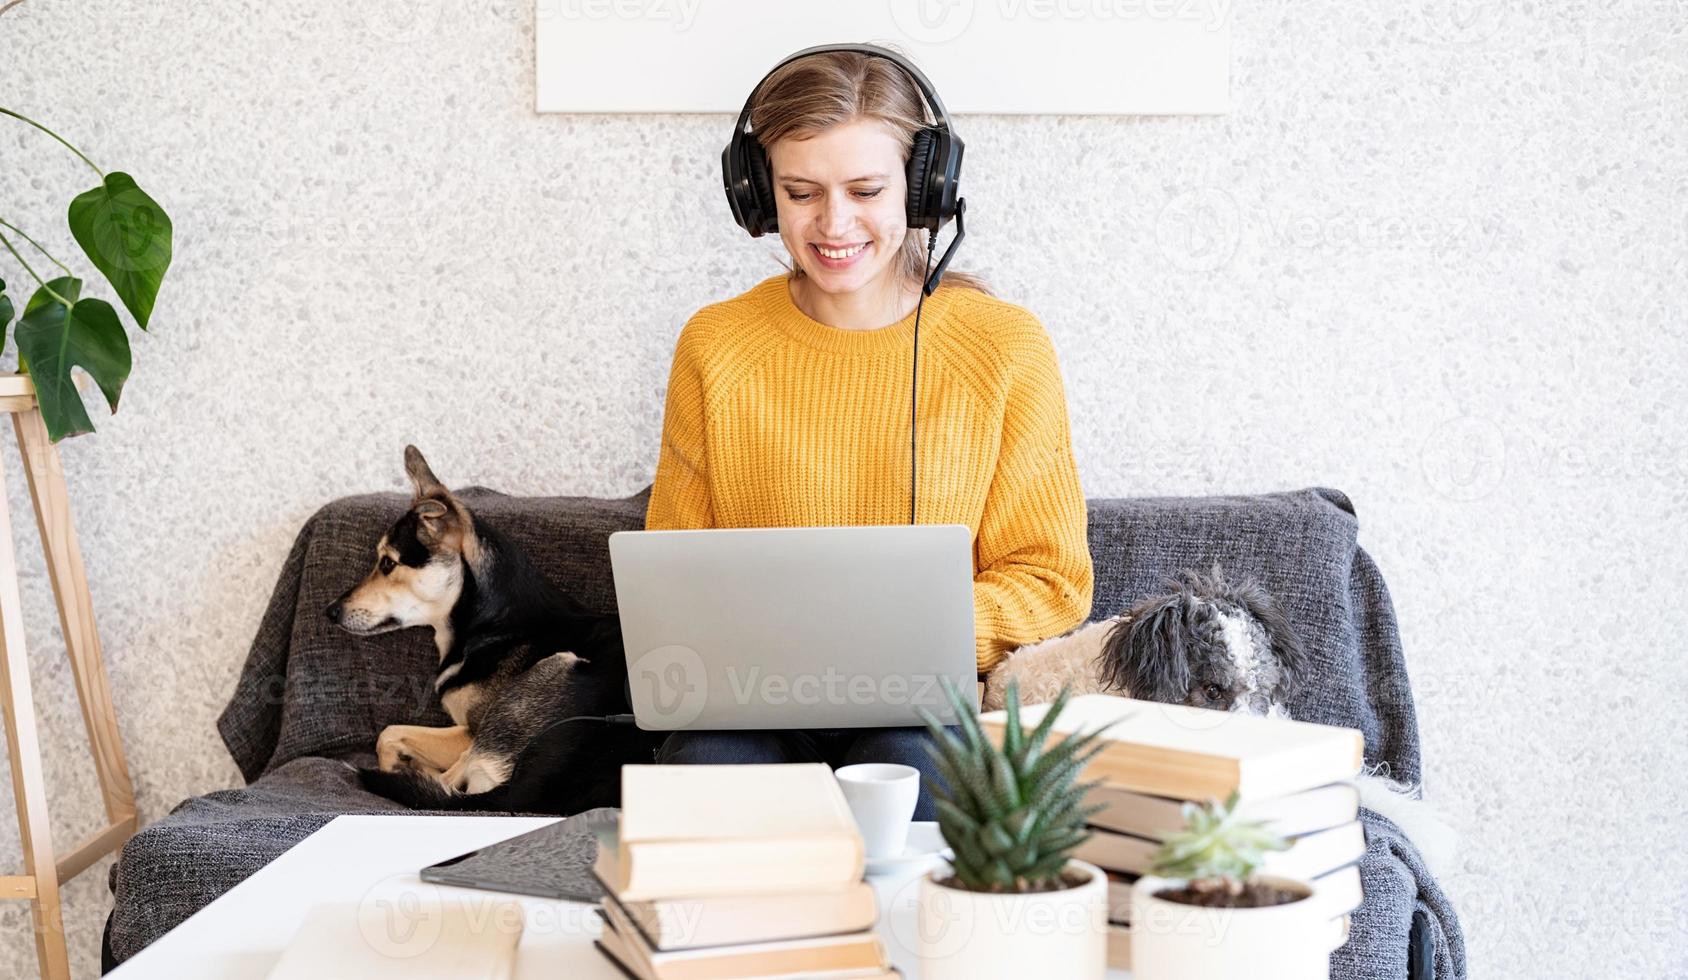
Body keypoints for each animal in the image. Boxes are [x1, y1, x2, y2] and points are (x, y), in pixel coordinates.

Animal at [322, 441, 658, 809]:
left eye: (387, 563)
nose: (331, 611)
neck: (492, 621)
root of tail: (521, 794)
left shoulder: (469, 730)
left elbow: (388, 734)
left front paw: (398, 766)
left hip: (548, 675)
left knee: (452, 778)